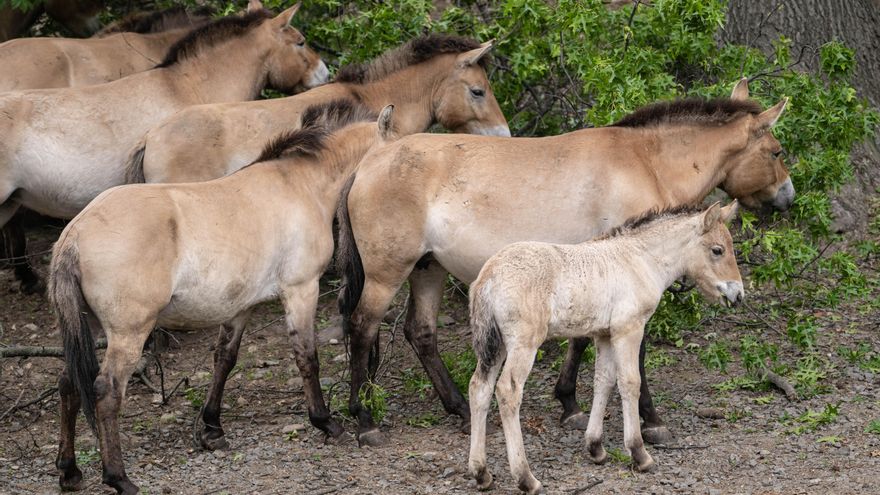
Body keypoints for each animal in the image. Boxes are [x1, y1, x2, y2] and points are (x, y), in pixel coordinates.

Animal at [49, 100, 394, 494]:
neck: (301, 185)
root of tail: (75, 234)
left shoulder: (241, 306)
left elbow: (224, 360)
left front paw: (212, 429)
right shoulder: (301, 289)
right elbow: (307, 358)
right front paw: (326, 422)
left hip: (87, 326)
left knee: (68, 384)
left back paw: (70, 471)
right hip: (128, 334)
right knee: (106, 393)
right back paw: (119, 478)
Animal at [335, 79, 792, 446]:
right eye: (775, 151)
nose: (787, 197)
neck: (645, 163)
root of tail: (371, 161)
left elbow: (582, 339)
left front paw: (569, 403)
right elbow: (634, 354)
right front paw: (651, 421)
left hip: (428, 269)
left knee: (421, 333)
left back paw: (460, 409)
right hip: (386, 275)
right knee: (362, 328)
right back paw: (364, 420)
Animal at [467, 202, 743, 494]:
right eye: (717, 250)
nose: (738, 295)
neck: (640, 260)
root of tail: (488, 276)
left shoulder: (604, 335)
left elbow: (604, 381)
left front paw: (595, 448)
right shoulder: (628, 329)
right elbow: (630, 383)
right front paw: (639, 453)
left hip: (495, 344)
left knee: (479, 388)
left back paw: (481, 473)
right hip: (524, 343)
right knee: (508, 391)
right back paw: (525, 478)